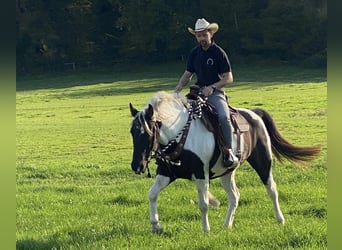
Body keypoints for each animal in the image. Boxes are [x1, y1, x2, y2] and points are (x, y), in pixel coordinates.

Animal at [128, 91, 320, 232]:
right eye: (132, 132)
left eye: (147, 133)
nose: (137, 166)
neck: (181, 135)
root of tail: (255, 114)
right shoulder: (166, 173)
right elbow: (152, 194)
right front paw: (156, 225)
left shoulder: (201, 174)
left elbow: (203, 204)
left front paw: (206, 229)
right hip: (226, 173)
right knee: (235, 196)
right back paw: (227, 225)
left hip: (263, 162)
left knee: (271, 189)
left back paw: (280, 219)